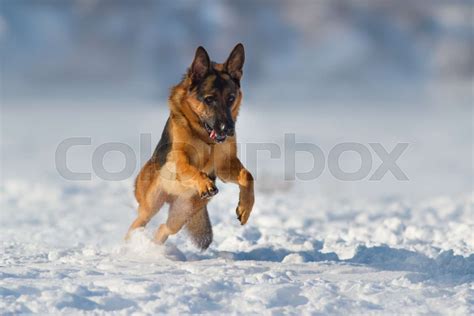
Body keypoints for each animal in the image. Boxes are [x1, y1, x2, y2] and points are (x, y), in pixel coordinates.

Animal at [124, 43, 254, 249]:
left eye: (231, 98)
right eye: (209, 99)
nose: (227, 129)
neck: (205, 137)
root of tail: (171, 198)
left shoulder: (224, 166)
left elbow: (247, 176)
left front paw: (245, 208)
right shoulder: (179, 158)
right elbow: (191, 168)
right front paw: (204, 182)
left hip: (181, 214)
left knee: (163, 228)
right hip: (150, 205)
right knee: (137, 224)